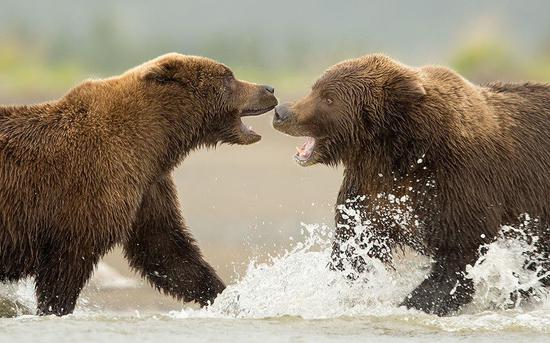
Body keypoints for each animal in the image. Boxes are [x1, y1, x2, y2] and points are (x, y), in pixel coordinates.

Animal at [0, 53, 276, 318]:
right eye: (228, 76)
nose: (269, 88)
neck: (156, 141)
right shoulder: (89, 189)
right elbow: (66, 267)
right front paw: (53, 309)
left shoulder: (149, 186)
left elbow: (164, 248)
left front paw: (226, 297)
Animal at [274, 54, 550, 318]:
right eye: (315, 88)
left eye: (328, 98)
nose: (281, 112)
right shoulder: (371, 190)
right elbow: (353, 248)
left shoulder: (460, 183)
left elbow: (456, 259)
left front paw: (411, 304)